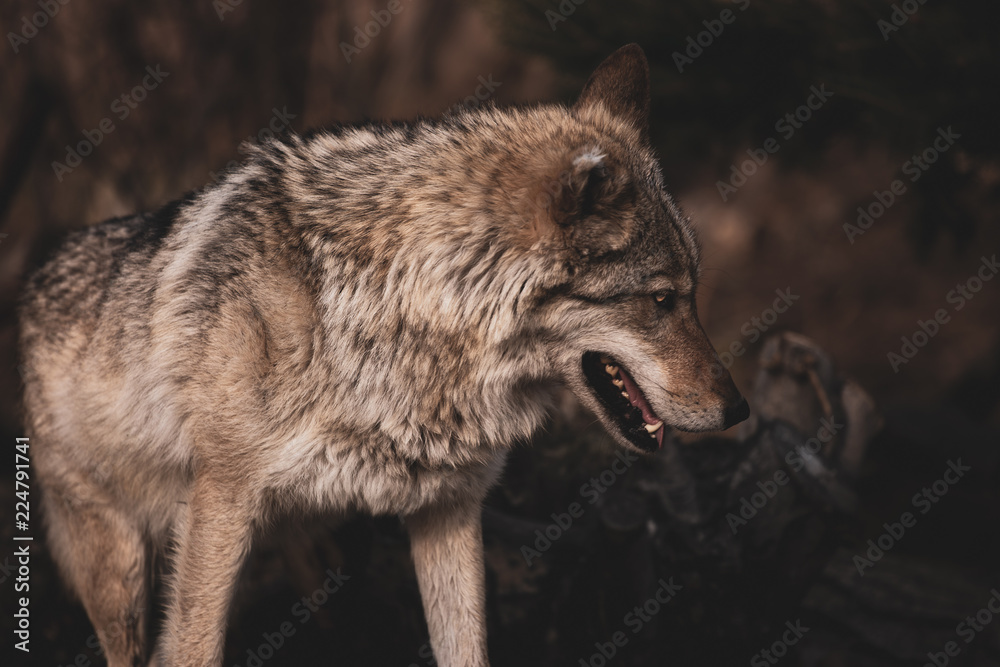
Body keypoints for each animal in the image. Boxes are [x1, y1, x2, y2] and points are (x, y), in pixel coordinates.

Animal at [18, 44, 748, 666]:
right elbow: (194, 648)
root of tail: (35, 273)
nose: (738, 408)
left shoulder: (449, 508)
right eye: (661, 300)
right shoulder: (221, 498)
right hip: (120, 568)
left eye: (692, 294)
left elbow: (467, 649)